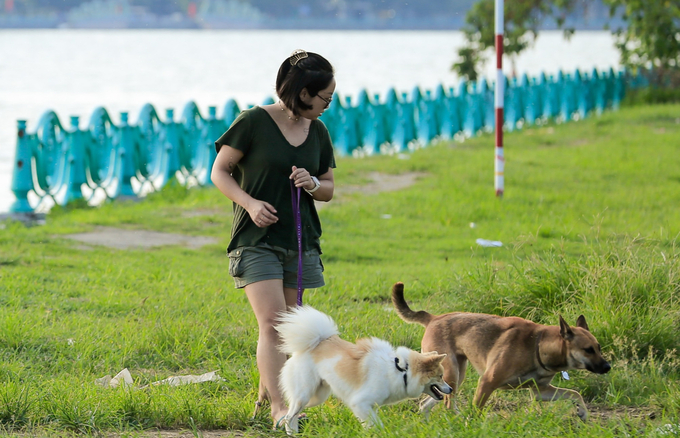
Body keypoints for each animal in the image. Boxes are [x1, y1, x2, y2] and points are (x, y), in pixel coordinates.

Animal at [390, 280, 612, 420]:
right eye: (588, 350)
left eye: (599, 347)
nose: (608, 367)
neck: (537, 345)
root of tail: (434, 318)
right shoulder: (487, 382)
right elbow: (476, 411)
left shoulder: (541, 391)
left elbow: (575, 394)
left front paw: (583, 412)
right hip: (452, 374)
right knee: (448, 405)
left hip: (452, 378)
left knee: (427, 404)